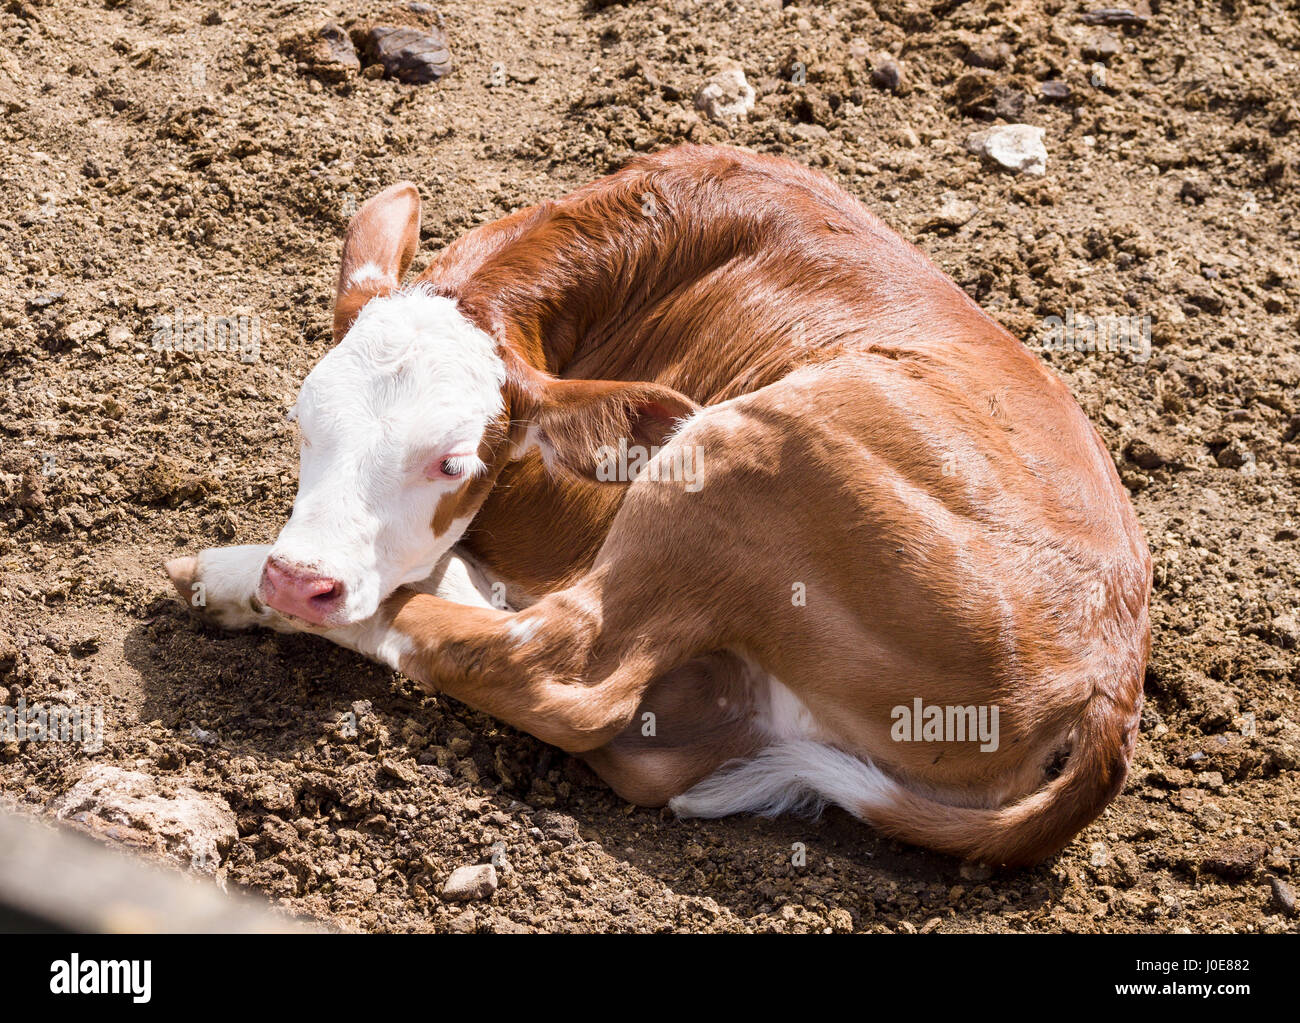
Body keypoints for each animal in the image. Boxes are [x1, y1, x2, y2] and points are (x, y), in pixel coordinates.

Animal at [164, 145, 1151, 867]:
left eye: (452, 462)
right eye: (302, 420)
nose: (298, 580)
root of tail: (1105, 687)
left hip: (740, 447)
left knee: (554, 669)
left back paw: (227, 574)